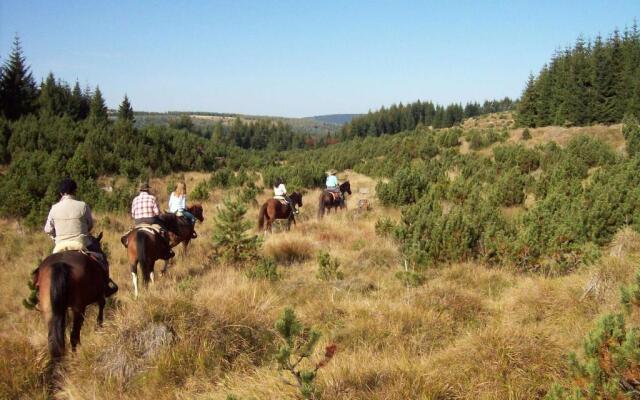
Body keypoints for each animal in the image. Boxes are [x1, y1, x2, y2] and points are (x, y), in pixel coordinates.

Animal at [32, 231, 108, 360]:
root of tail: (60, 264)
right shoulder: (100, 293)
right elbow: (102, 305)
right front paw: (99, 326)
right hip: (78, 308)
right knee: (74, 335)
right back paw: (75, 356)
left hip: (49, 309)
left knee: (54, 338)